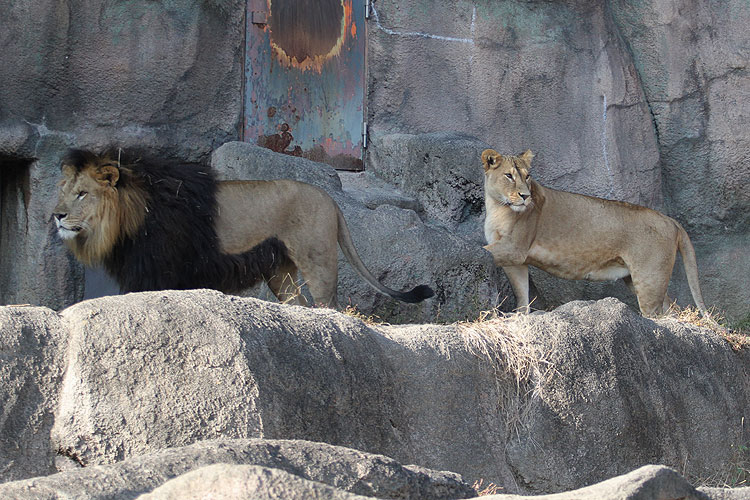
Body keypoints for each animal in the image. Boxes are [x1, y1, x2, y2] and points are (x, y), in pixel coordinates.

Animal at [54, 146, 434, 306]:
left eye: (83, 193)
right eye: (65, 191)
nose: (56, 215)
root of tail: (331, 200)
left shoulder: (156, 269)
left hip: (317, 258)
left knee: (329, 305)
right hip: (281, 271)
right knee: (299, 304)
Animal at [484, 148, 708, 316]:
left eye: (527, 176)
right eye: (509, 176)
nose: (525, 196)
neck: (497, 206)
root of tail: (670, 220)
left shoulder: (515, 248)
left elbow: (486, 250)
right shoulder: (516, 260)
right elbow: (521, 292)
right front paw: (521, 316)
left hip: (649, 278)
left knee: (657, 314)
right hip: (639, 278)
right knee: (672, 309)